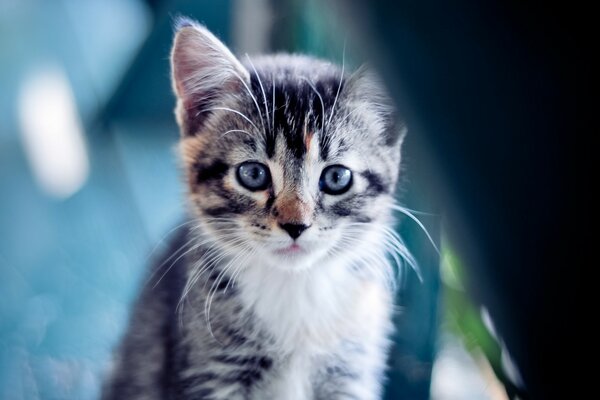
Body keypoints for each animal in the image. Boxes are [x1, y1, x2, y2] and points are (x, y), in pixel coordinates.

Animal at [105, 18, 410, 400]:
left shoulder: (350, 370)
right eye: (252, 174)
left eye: (337, 177)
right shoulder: (210, 372)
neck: (296, 289)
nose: (296, 225)